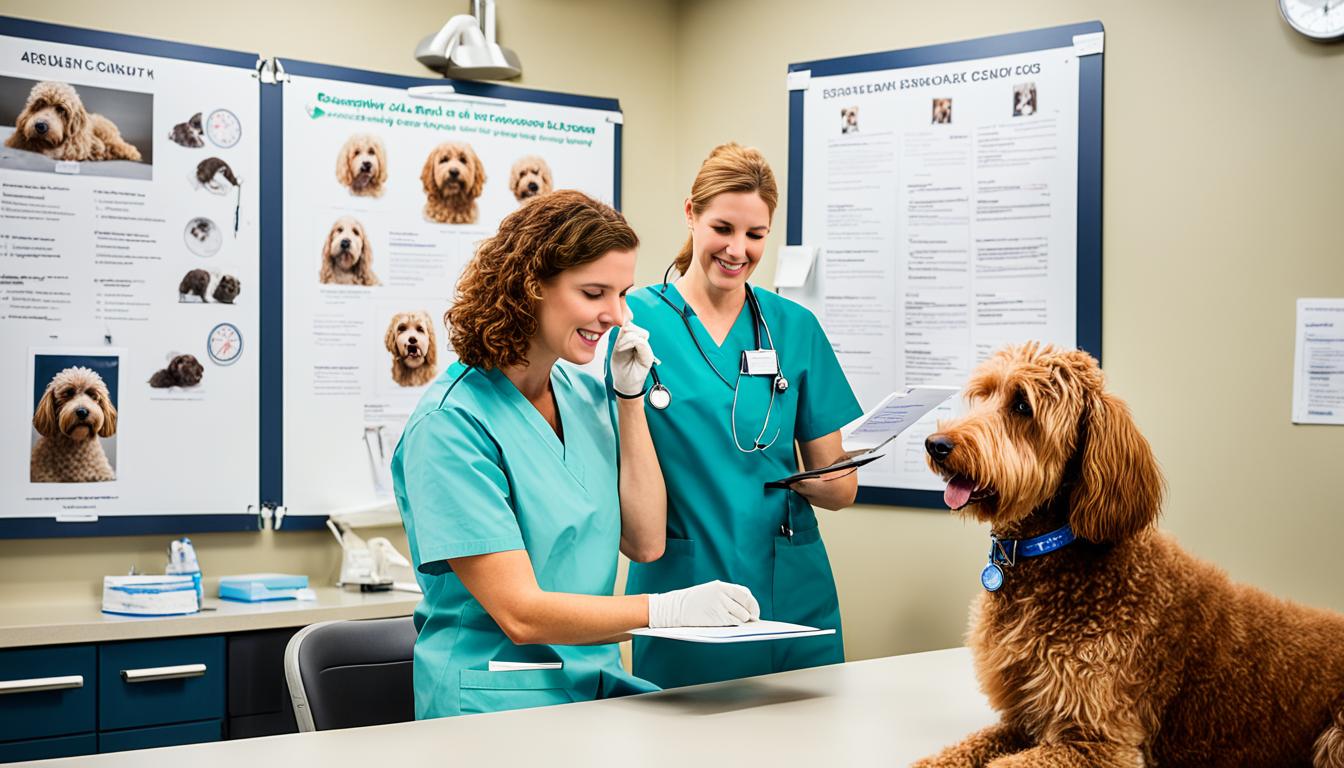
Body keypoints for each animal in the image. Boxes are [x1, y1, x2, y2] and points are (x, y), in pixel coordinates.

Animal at [8, 82, 141, 161]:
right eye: (40, 104)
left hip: (107, 134)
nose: (40, 126)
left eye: (61, 109)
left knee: (121, 145)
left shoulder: (76, 147)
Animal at [913, 344, 1344, 768]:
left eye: (1022, 405)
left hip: (1334, 737)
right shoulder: (1024, 719)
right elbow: (961, 751)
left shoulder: (1098, 741)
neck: (1053, 552)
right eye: (983, 395)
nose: (936, 444)